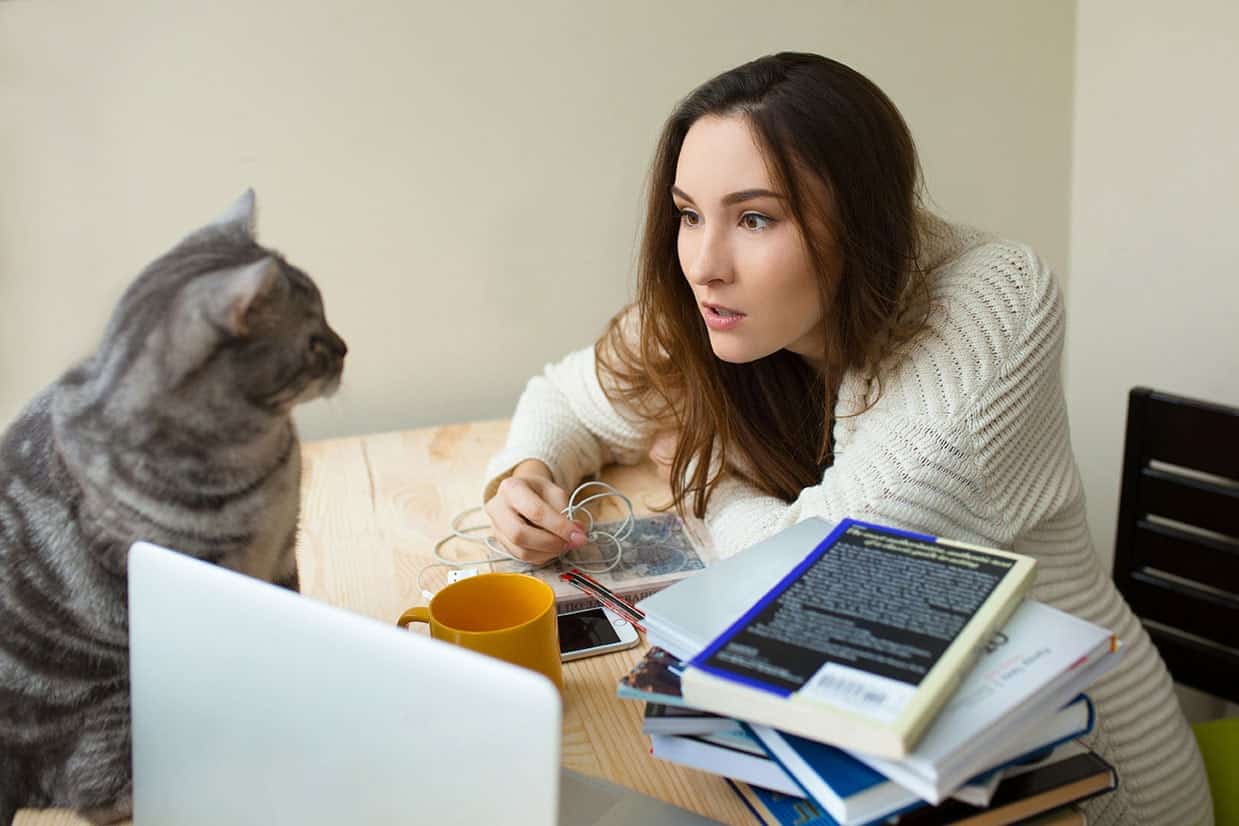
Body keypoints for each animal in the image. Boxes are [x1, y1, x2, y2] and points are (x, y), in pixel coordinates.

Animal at [0, 190, 349, 822]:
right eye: (313, 339)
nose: (345, 347)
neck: (267, 455)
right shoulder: (211, 570)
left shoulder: (282, 555)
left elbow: (291, 605)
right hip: (119, 705)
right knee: (96, 792)